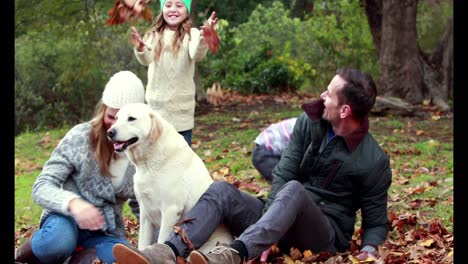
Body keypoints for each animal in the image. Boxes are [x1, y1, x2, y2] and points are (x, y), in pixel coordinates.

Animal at [107, 102, 233, 252]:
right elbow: (143, 242)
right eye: (116, 118)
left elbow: (162, 240)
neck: (148, 163)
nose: (109, 132)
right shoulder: (145, 212)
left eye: (131, 118)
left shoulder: (170, 210)